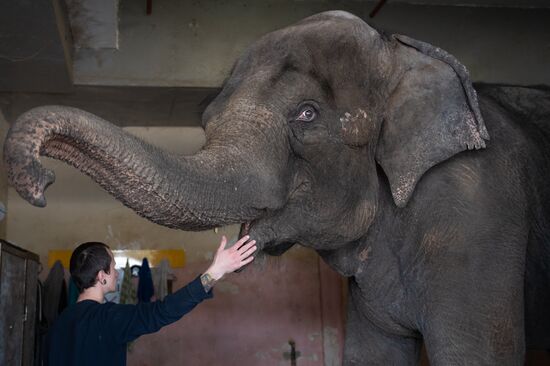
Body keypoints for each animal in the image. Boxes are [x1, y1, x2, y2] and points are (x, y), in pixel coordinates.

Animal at [4, 10, 550, 364]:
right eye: (206, 119)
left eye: (306, 115)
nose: (41, 180)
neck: (400, 52)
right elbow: (371, 352)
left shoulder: (477, 212)